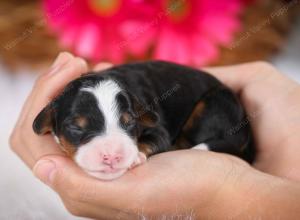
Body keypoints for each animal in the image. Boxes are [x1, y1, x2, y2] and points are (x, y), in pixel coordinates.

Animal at [33, 60, 255, 180]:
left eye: (129, 122)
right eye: (75, 127)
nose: (112, 156)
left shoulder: (158, 127)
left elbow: (155, 139)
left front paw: (137, 155)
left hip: (214, 105)